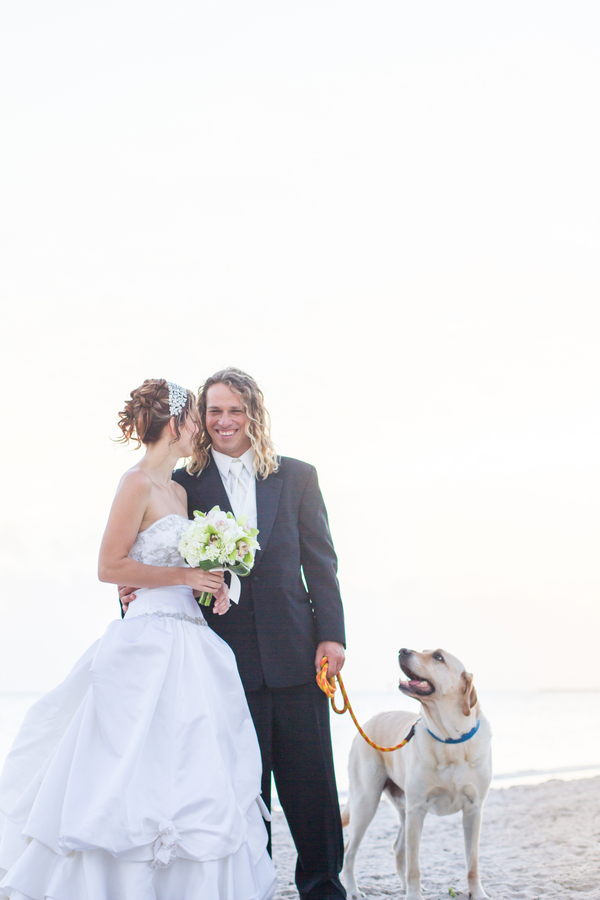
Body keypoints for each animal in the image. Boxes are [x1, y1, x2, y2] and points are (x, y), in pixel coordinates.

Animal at [342, 652, 492, 900]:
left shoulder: (474, 809)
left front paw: (477, 893)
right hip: (367, 802)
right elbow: (414, 865)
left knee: (397, 848)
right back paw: (353, 890)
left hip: (401, 809)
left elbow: (473, 863)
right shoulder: (418, 809)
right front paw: (413, 894)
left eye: (438, 656)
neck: (450, 741)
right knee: (350, 852)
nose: (402, 650)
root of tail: (369, 721)